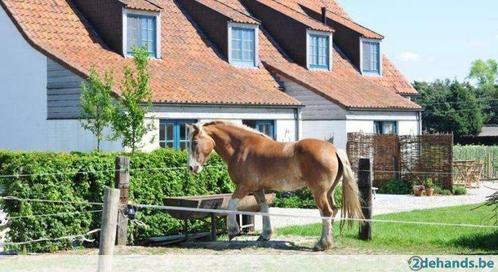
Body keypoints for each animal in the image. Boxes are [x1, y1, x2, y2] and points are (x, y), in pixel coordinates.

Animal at [186, 121, 362, 251]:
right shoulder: (257, 189)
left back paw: (322, 244)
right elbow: (264, 208)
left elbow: (231, 203)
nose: (191, 167)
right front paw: (265, 235)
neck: (242, 148)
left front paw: (233, 230)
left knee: (326, 212)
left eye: (194, 142)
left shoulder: (244, 186)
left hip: (318, 192)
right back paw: (327, 241)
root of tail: (334, 149)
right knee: (333, 211)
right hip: (329, 191)